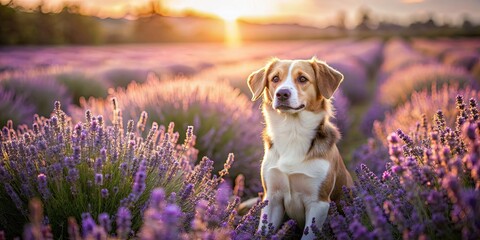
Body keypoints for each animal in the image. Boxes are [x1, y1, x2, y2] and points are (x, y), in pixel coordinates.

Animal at [248, 57, 352, 239]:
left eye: (303, 79)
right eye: (275, 78)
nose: (282, 94)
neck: (293, 132)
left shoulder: (319, 203)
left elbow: (308, 234)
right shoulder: (272, 199)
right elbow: (264, 232)